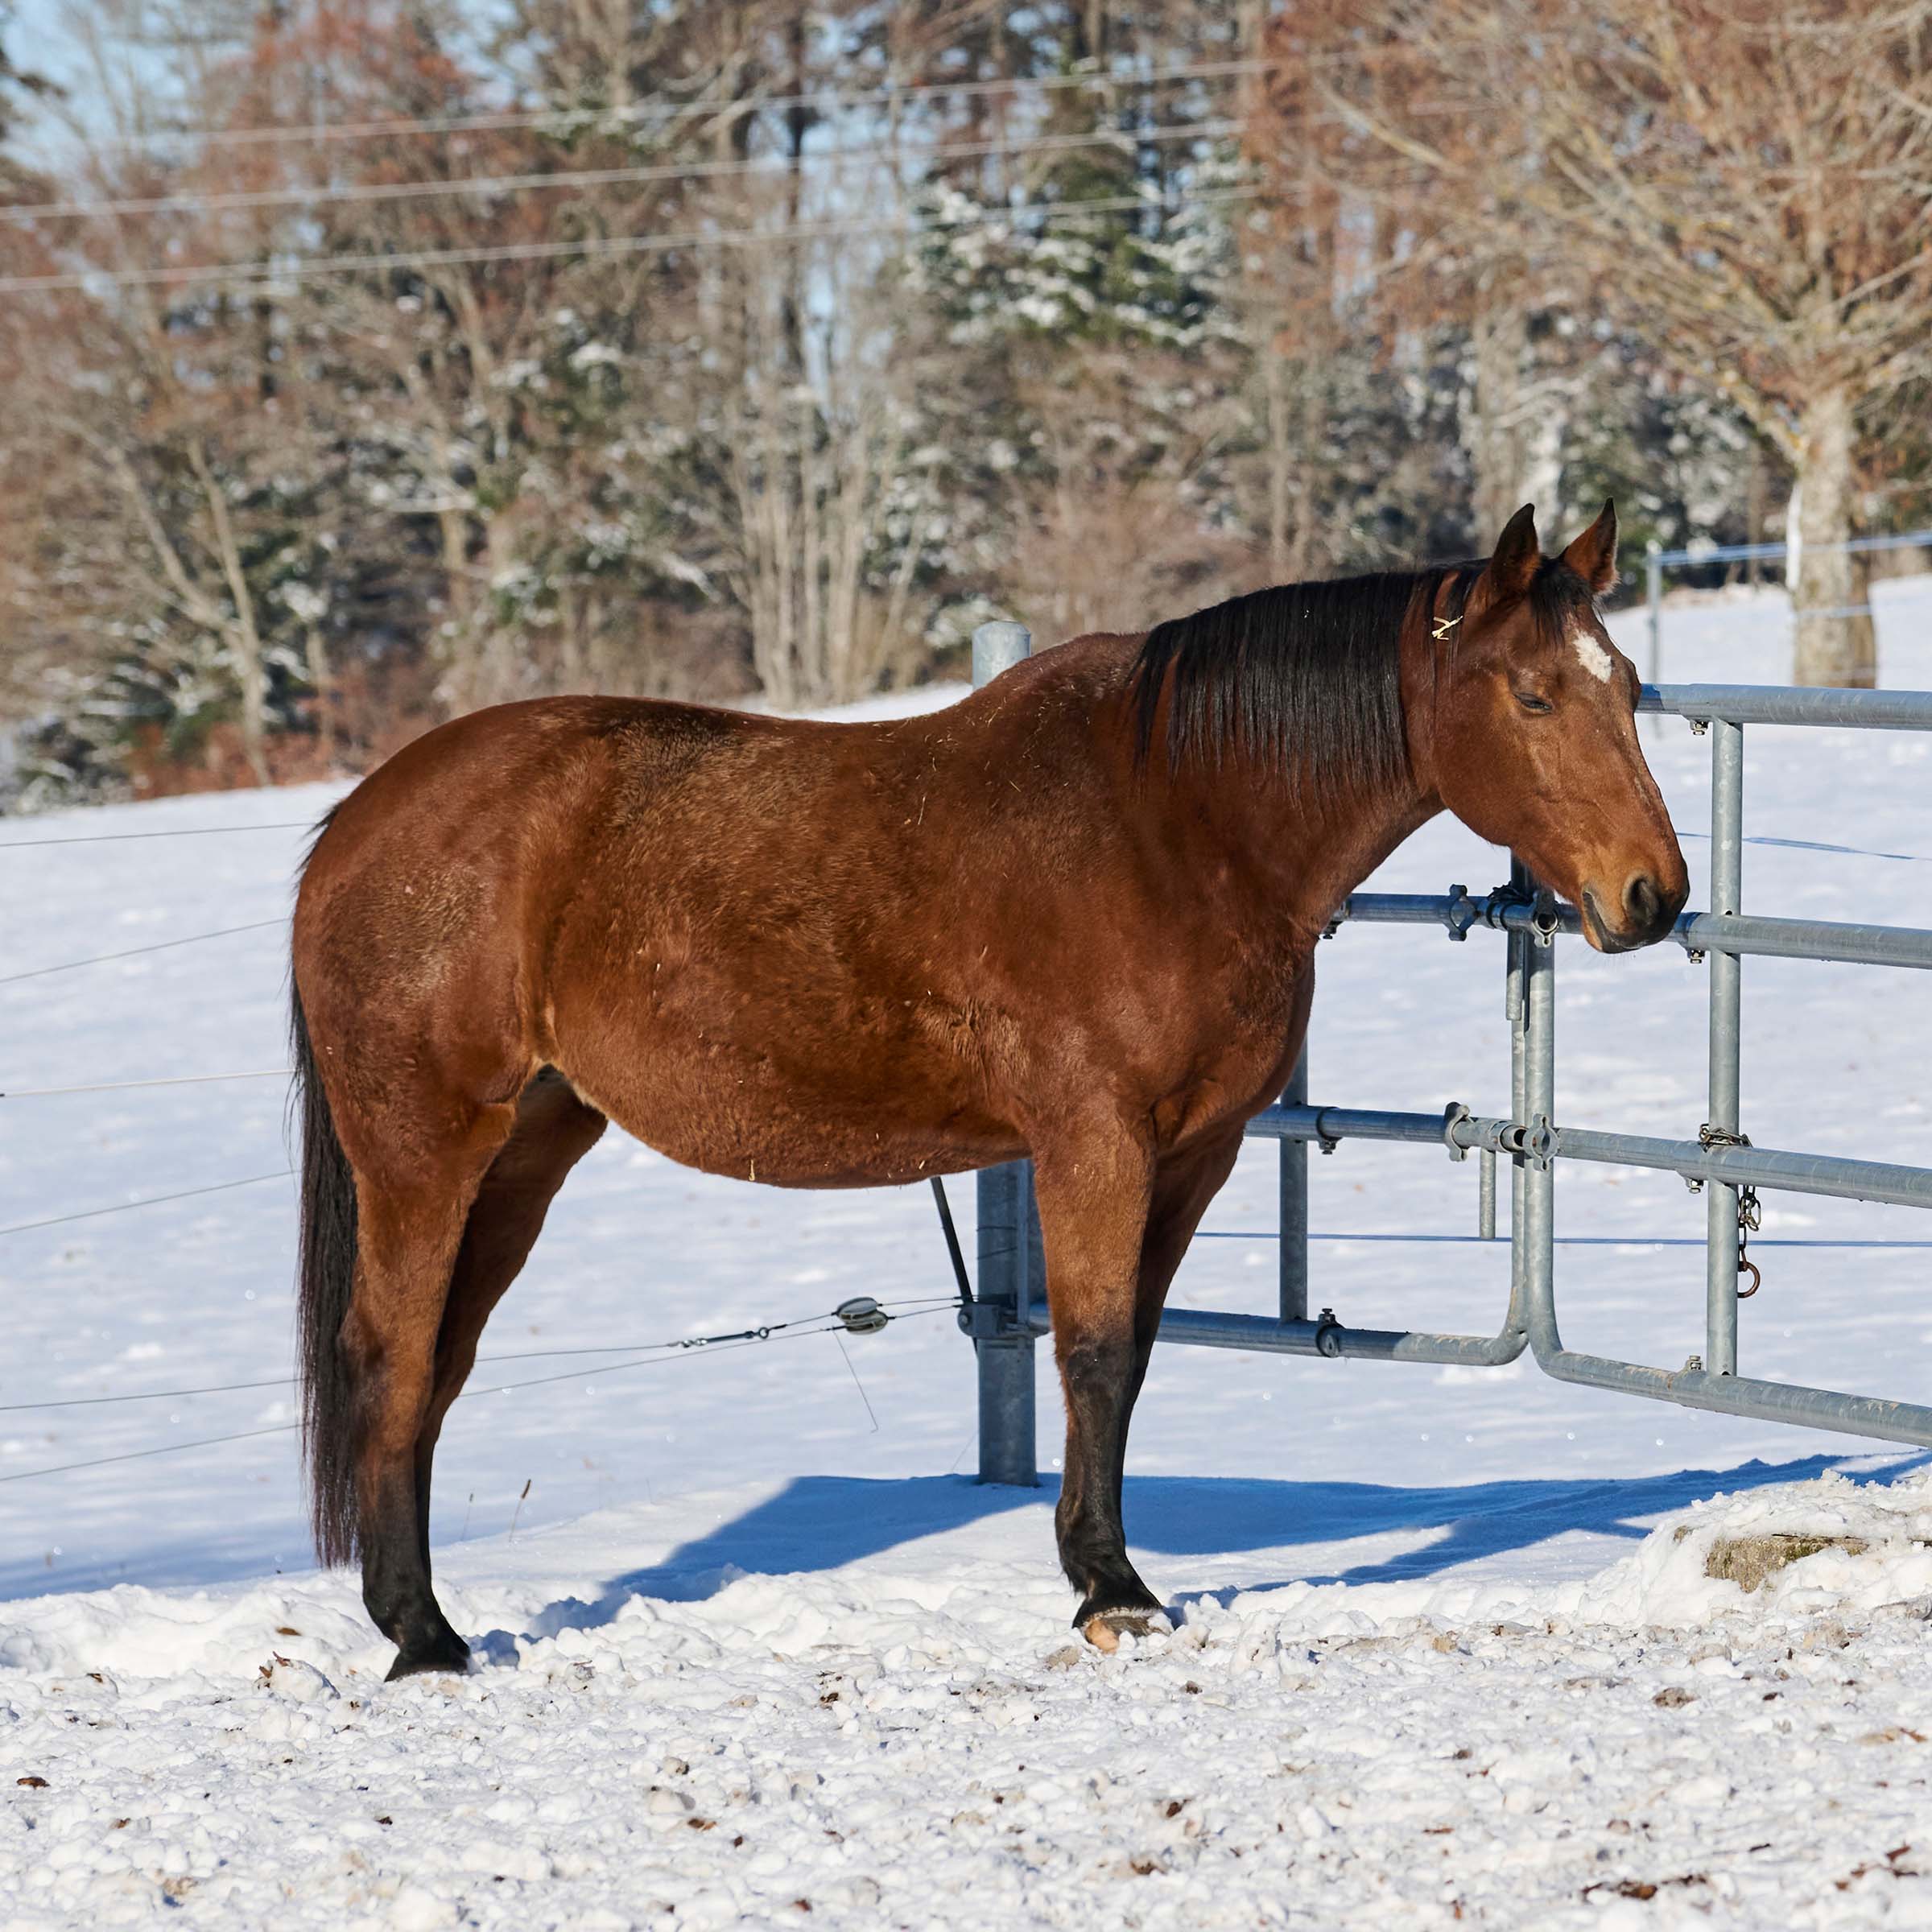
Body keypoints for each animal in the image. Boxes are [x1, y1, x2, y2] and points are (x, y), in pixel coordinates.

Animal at [290, 500, 1687, 1678]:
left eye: (1626, 688)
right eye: (1533, 694)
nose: (1653, 896)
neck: (1177, 820)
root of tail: (357, 823)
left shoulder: (1197, 1152)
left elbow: (1130, 1359)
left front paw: (1107, 1570)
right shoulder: (1095, 1142)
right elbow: (1095, 1350)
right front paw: (1111, 1588)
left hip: (525, 1150)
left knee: (437, 1366)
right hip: (425, 1152)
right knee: (392, 1356)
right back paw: (422, 1641)